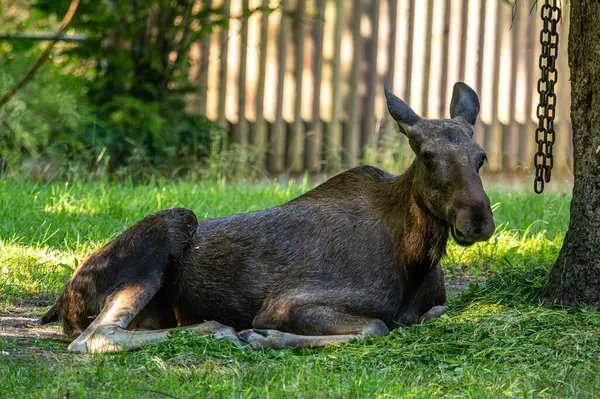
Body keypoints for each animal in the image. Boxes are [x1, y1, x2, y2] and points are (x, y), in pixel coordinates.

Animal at [39, 81, 494, 354]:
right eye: (428, 156)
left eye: (481, 157)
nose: (478, 220)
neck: (415, 259)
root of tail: (61, 301)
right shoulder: (287, 302)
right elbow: (376, 327)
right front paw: (263, 336)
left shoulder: (434, 303)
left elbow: (430, 314)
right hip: (172, 222)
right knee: (92, 337)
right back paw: (219, 329)